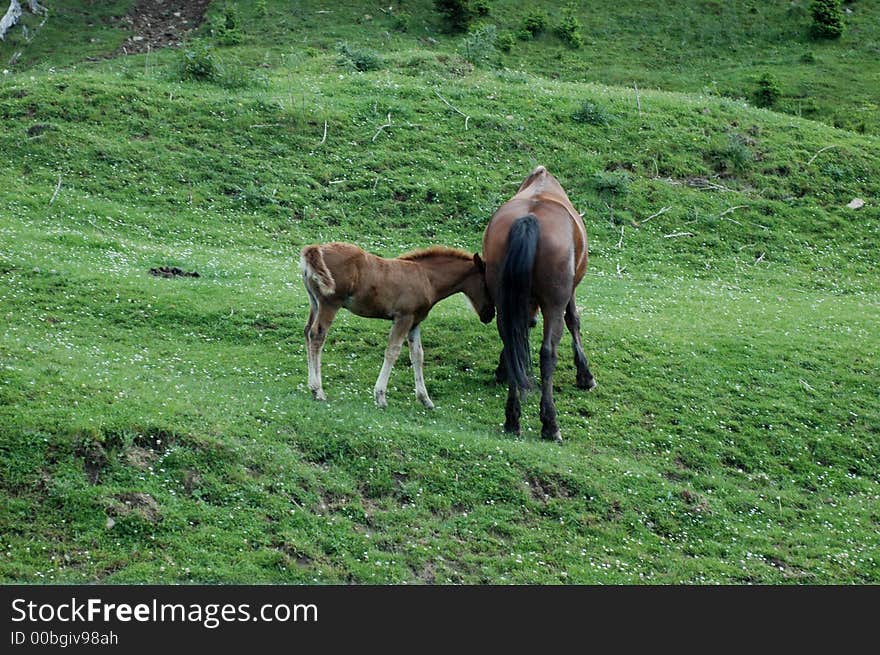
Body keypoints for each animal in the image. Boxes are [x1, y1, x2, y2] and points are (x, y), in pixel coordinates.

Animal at [300, 243, 496, 408]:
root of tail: (316, 248)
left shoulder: (415, 321)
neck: (426, 278)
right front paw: (380, 396)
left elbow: (417, 355)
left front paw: (425, 399)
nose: (490, 315)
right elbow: (392, 351)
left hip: (314, 302)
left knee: (308, 332)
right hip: (330, 303)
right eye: (486, 284)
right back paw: (318, 390)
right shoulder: (403, 317)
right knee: (317, 335)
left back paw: (311, 387)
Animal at [482, 164, 600, 444]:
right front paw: (585, 375)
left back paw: (512, 418)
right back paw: (550, 423)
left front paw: (502, 370)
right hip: (553, 304)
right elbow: (574, 321)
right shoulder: (568, 293)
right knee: (548, 354)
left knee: (511, 341)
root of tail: (530, 219)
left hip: (504, 296)